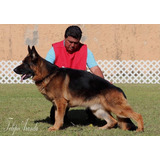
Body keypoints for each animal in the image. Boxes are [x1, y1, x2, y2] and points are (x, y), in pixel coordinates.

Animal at [13, 46, 144, 131]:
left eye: (25, 64)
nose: (14, 70)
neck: (47, 74)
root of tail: (117, 88)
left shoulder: (60, 103)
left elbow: (58, 117)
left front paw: (55, 128)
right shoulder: (57, 104)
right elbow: (56, 116)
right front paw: (56, 127)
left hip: (117, 108)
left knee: (137, 115)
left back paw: (140, 130)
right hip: (98, 110)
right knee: (113, 121)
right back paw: (101, 129)